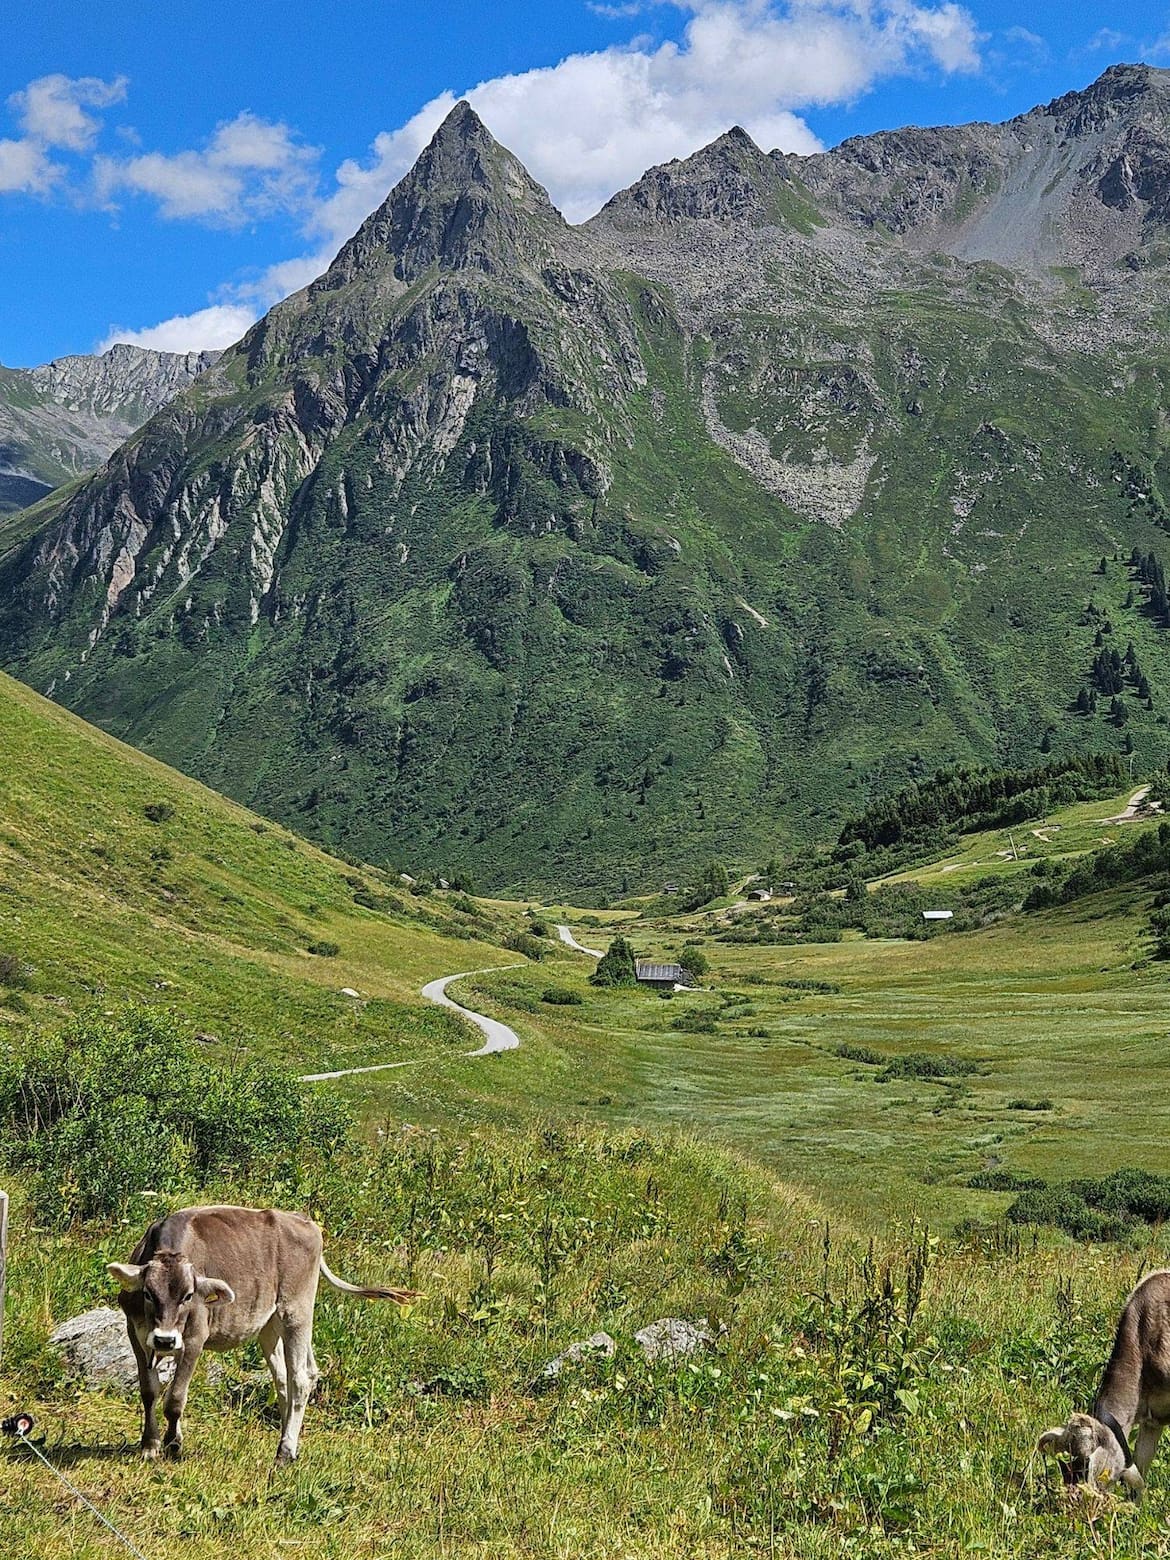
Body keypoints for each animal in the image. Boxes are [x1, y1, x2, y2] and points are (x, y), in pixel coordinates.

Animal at [108, 1205, 415, 1464]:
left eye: (188, 1296)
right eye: (148, 1293)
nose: (165, 1340)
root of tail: (302, 1220)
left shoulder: (195, 1337)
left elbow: (175, 1398)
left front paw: (173, 1445)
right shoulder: (136, 1333)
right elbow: (149, 1391)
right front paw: (150, 1446)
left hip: (297, 1310)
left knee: (300, 1378)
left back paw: (285, 1450)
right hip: (270, 1323)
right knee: (287, 1378)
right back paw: (289, 1439)